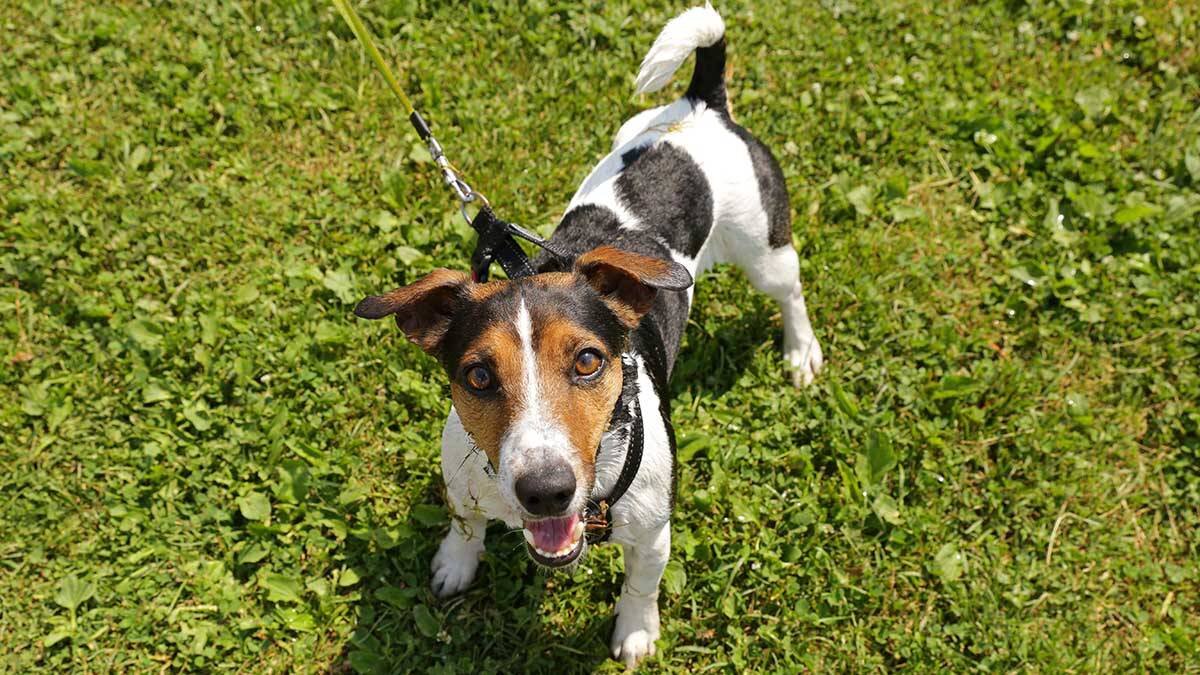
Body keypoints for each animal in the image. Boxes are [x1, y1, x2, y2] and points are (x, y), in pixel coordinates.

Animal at [352, 3, 825, 667]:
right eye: (478, 375)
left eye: (587, 361)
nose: (545, 491)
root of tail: (703, 104)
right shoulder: (464, 486)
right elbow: (465, 528)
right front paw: (455, 564)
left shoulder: (654, 533)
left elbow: (641, 586)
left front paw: (636, 633)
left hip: (765, 250)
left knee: (792, 292)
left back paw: (801, 352)